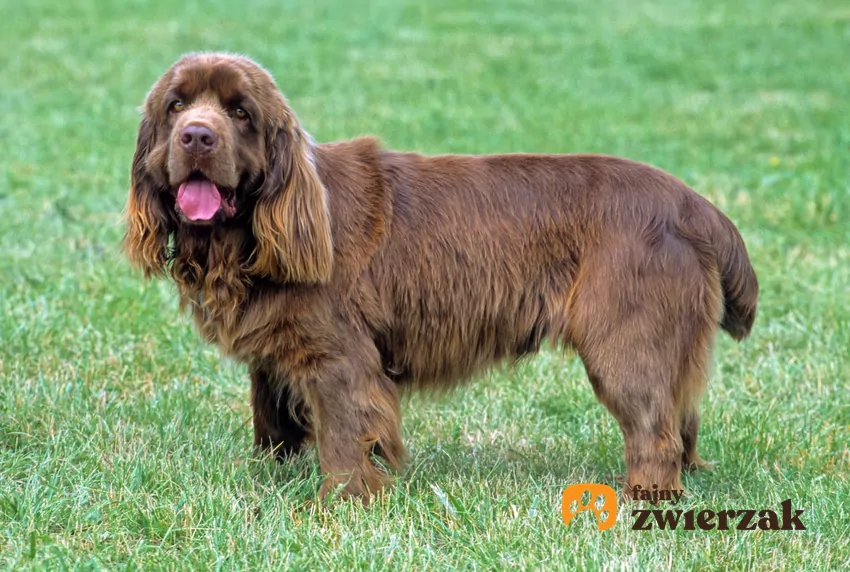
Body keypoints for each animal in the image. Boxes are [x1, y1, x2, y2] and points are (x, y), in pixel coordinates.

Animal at [124, 52, 756, 500]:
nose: (197, 136)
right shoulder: (275, 355)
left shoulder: (340, 357)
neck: (246, 238)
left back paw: (642, 499)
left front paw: (340, 502)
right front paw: (266, 479)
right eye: (176, 106)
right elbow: (272, 420)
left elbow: (344, 434)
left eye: (240, 113)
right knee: (681, 417)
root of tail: (695, 204)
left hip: (625, 341)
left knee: (653, 430)